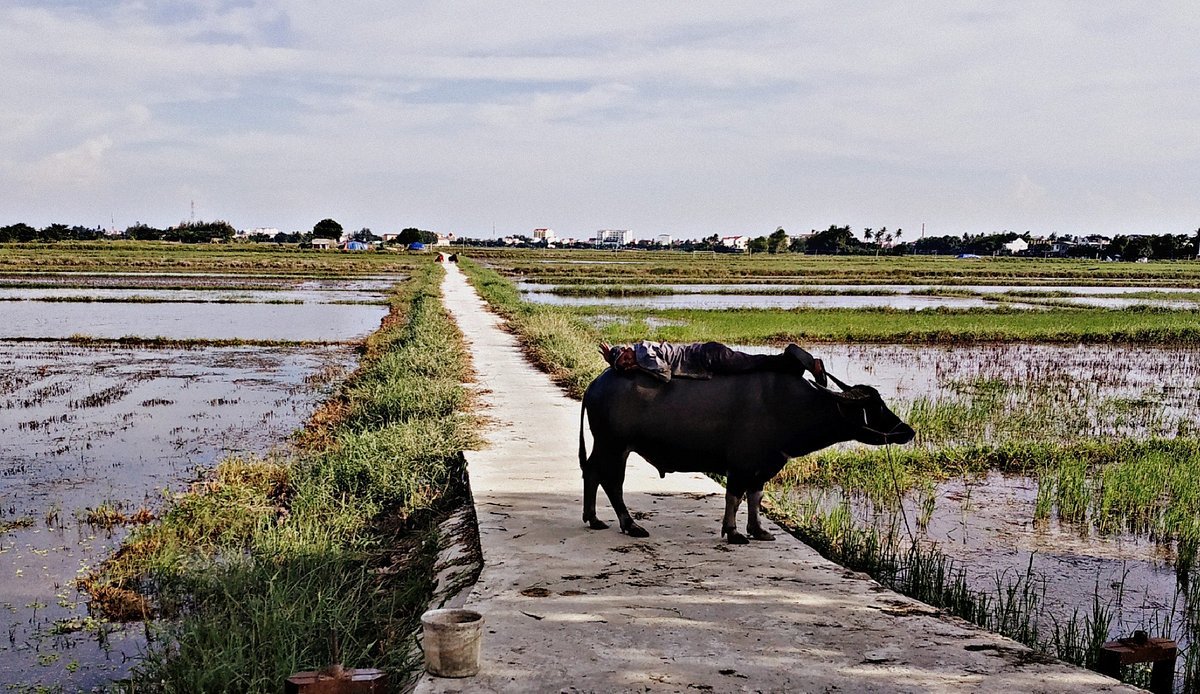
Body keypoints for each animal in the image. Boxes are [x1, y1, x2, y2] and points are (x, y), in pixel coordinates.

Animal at [576, 367, 912, 540]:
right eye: (875, 407)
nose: (907, 431)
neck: (790, 407)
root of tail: (594, 384)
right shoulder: (740, 466)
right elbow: (734, 497)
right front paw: (733, 532)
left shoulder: (764, 466)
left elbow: (755, 498)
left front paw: (758, 530)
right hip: (614, 445)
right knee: (612, 482)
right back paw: (630, 525)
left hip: (607, 446)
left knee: (591, 473)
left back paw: (593, 518)